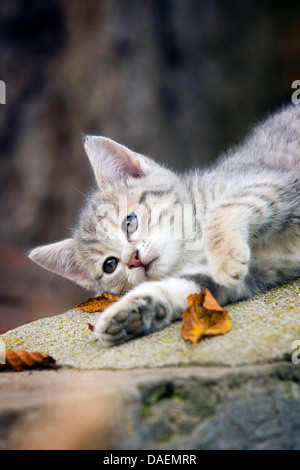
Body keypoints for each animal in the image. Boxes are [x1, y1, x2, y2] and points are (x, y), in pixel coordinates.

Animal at [28, 104, 300, 346]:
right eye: (110, 265)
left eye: (130, 223)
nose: (134, 259)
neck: (193, 246)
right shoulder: (248, 274)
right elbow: (192, 290)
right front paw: (132, 312)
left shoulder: (274, 181)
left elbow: (225, 207)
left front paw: (226, 258)